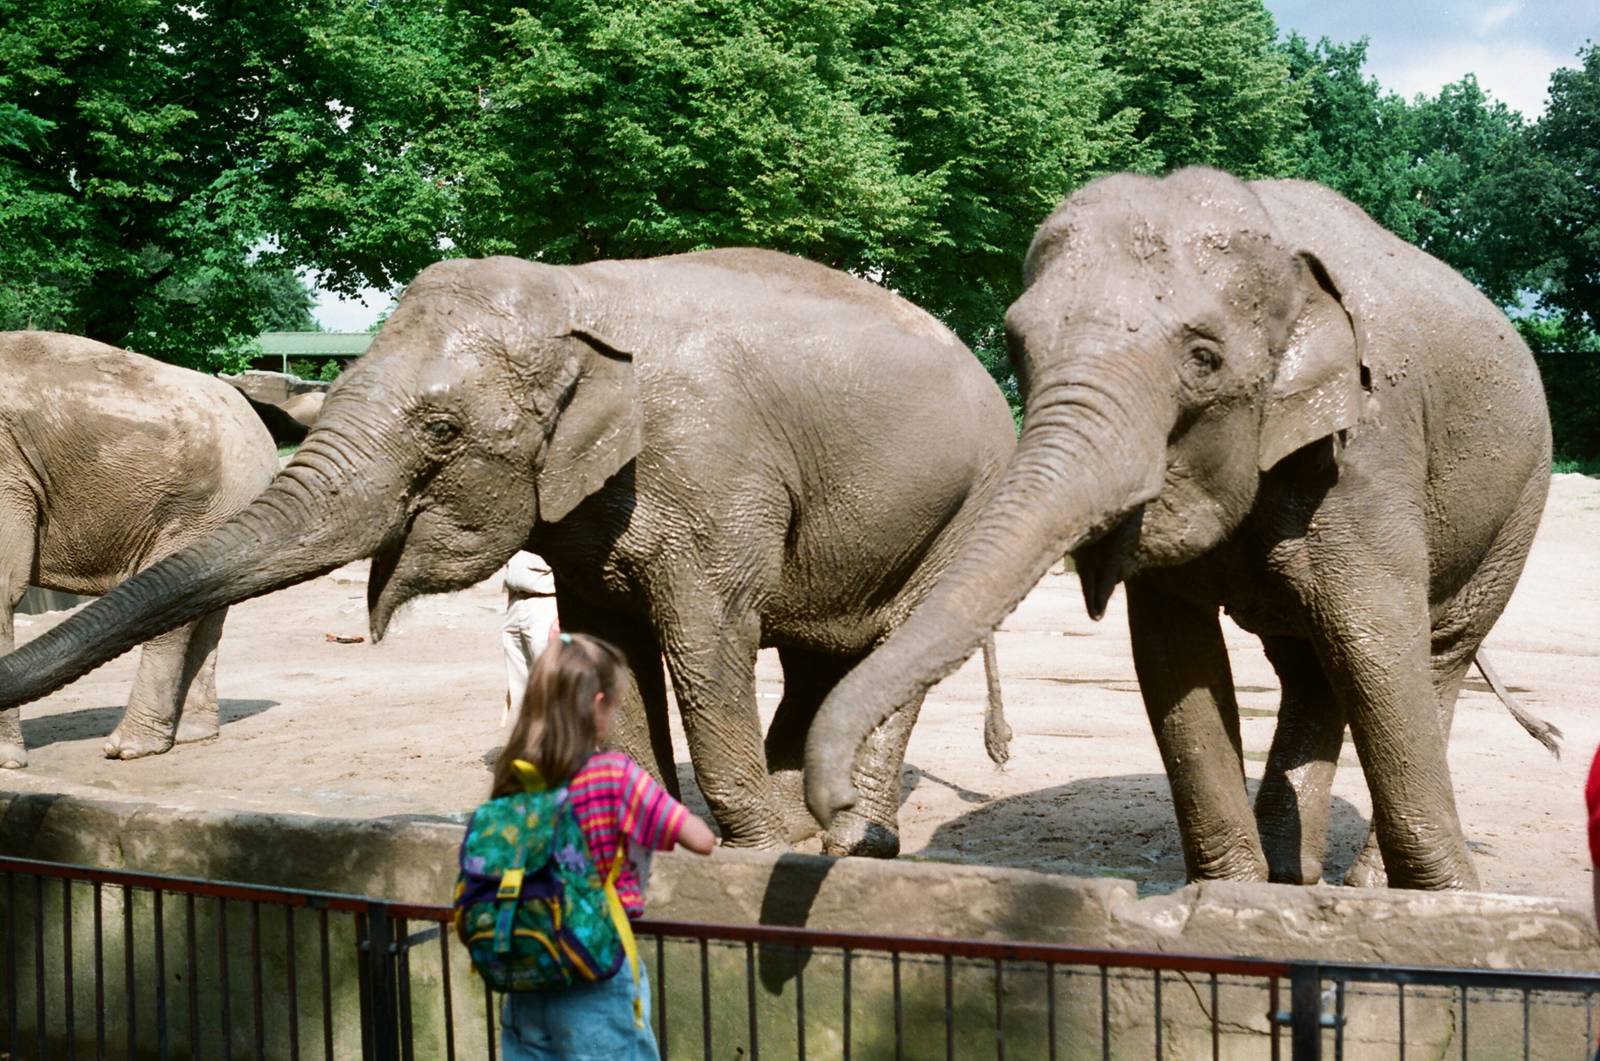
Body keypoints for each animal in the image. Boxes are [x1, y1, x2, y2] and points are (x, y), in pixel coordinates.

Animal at [805, 167, 1551, 890]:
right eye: (1017, 344)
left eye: (1203, 358)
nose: (837, 803)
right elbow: (1174, 653)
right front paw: (1231, 894)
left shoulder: (1369, 450)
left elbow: (1376, 639)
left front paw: (1451, 898)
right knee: (1310, 665)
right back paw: (1290, 875)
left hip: (1518, 505)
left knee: (1434, 655)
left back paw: (1367, 883)